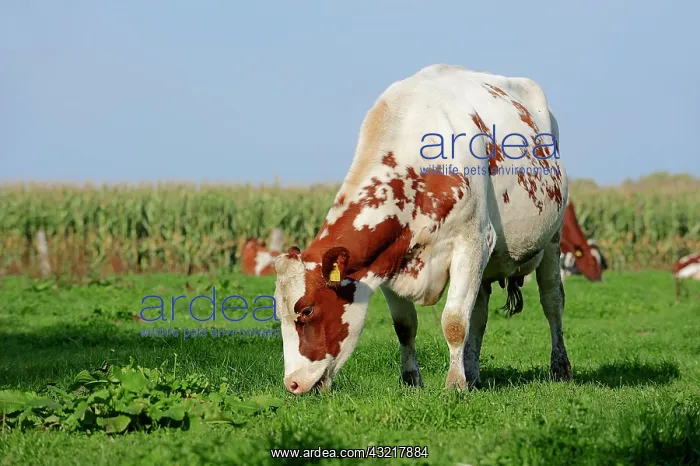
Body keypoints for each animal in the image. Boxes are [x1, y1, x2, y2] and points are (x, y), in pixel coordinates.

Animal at [273, 64, 572, 394]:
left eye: (307, 310)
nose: (292, 384)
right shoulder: (389, 259)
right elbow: (406, 325)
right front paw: (412, 379)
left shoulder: (472, 242)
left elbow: (454, 321)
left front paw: (454, 385)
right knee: (479, 313)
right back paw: (472, 372)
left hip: (552, 238)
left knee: (552, 301)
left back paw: (560, 368)